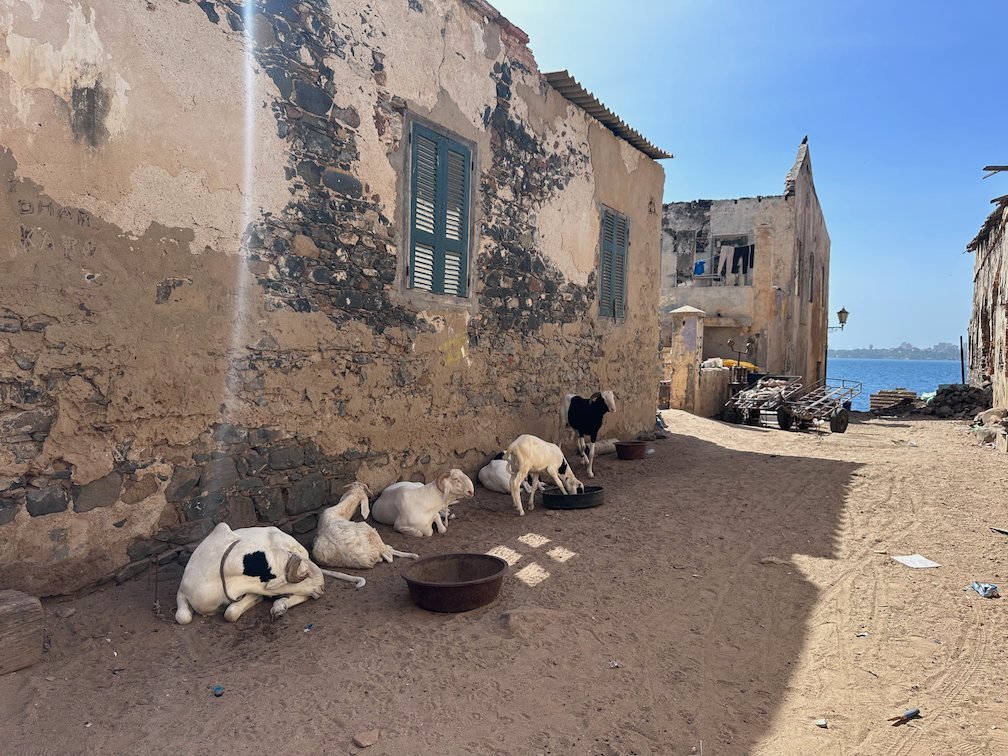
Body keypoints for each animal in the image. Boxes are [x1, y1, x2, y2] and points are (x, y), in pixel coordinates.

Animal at [175, 522, 364, 625]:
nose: (322, 587)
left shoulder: (254, 590)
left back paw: (280, 605)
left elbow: (230, 613)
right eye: (304, 573)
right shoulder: (182, 591)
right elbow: (182, 616)